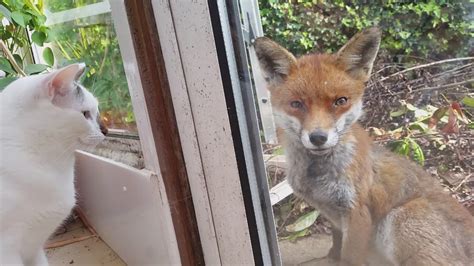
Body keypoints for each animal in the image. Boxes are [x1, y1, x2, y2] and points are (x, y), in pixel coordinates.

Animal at [256, 27, 474, 266]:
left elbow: (349, 258)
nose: (318, 137)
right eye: (297, 104)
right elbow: (336, 246)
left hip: (401, 218)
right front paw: (331, 257)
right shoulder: (335, 217)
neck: (319, 177)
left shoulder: (357, 212)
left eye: (340, 101)